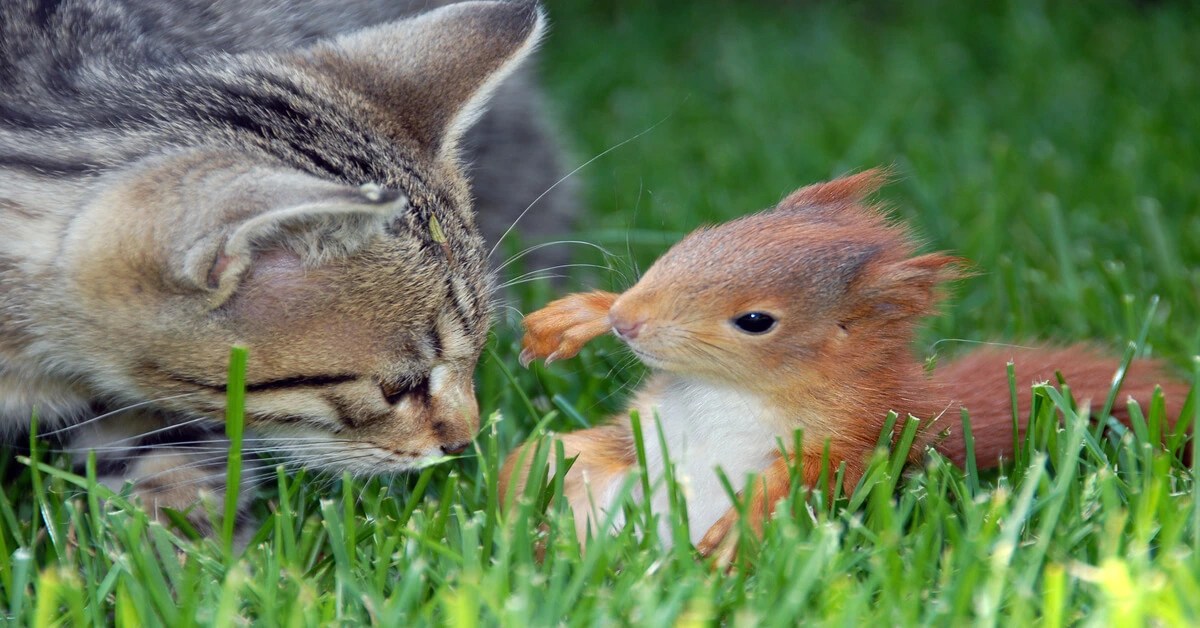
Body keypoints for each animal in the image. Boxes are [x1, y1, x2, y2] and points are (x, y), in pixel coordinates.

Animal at [499, 169, 1190, 557]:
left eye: (756, 321)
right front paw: (579, 315)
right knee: (544, 465)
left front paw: (747, 519)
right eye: (695, 240)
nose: (628, 322)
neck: (737, 388)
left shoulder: (861, 427)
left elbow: (817, 471)